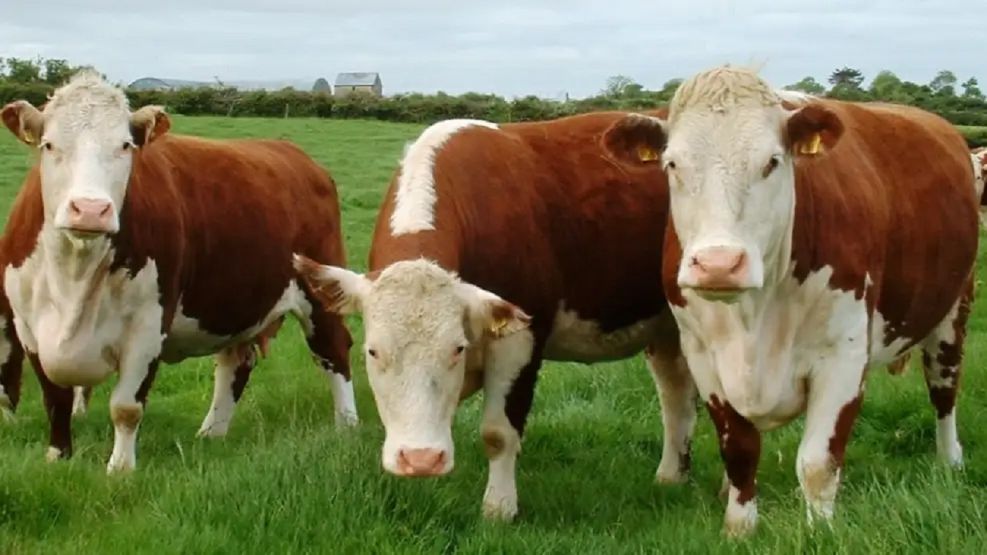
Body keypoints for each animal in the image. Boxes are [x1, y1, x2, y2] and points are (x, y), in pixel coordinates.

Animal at [0, 71, 357, 472]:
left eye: (125, 146)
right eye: (49, 145)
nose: (90, 210)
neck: (74, 270)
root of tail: (295, 155)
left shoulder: (148, 325)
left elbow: (126, 407)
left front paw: (120, 470)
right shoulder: (28, 329)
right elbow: (55, 400)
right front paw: (57, 457)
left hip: (319, 288)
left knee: (334, 350)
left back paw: (347, 426)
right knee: (236, 363)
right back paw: (211, 434)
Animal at [294, 111, 696, 521]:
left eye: (456, 349)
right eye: (373, 352)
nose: (420, 459)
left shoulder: (520, 340)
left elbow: (498, 433)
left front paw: (499, 507)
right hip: (667, 329)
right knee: (676, 395)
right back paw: (671, 475)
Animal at [600, 66, 979, 536]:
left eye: (772, 162)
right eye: (672, 164)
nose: (719, 264)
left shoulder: (843, 357)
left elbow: (817, 463)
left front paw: (821, 531)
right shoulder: (704, 356)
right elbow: (740, 449)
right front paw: (738, 527)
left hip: (952, 313)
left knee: (944, 392)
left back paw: (949, 460)